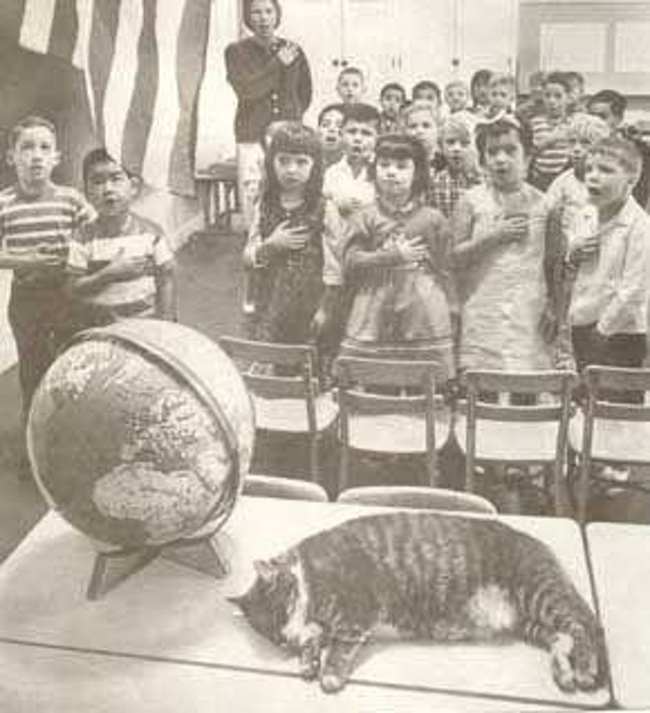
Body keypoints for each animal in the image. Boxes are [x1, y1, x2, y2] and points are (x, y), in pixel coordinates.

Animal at [227, 508, 604, 692]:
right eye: (270, 635)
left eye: (281, 611)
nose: (284, 640)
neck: (308, 571)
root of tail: (541, 546)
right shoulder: (319, 623)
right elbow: (314, 638)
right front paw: (307, 660)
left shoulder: (356, 610)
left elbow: (339, 646)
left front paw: (328, 674)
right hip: (528, 623)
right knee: (561, 637)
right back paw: (564, 673)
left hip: (539, 593)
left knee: (581, 626)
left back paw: (585, 670)